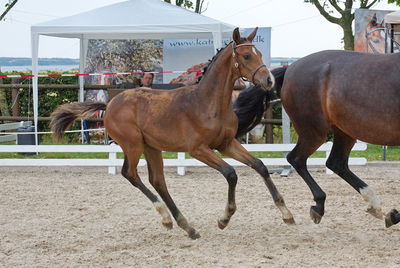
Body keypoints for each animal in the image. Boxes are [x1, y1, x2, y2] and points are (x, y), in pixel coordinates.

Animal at [233, 49, 400, 226]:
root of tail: (290, 68)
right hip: (315, 131)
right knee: (297, 158)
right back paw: (320, 206)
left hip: (343, 131)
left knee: (335, 163)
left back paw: (376, 208)